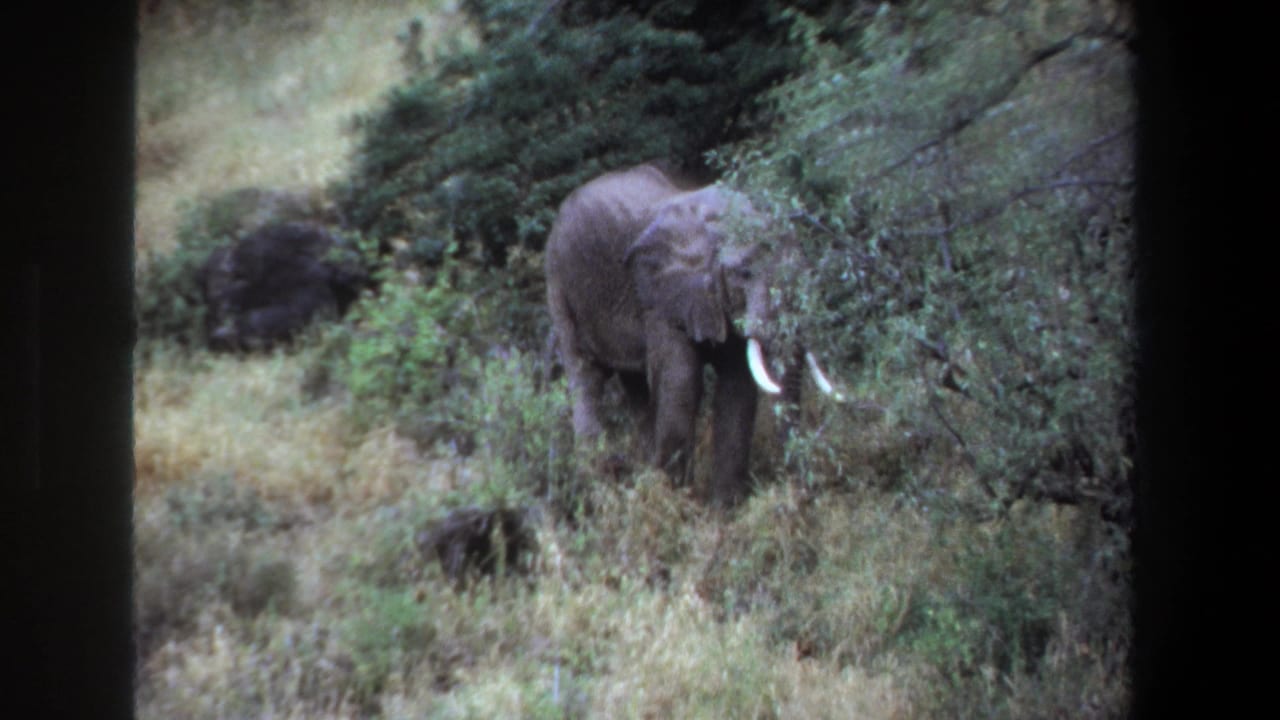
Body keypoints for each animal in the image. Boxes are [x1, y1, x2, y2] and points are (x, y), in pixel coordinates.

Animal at [545, 163, 837, 507]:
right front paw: (676, 505)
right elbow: (681, 382)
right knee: (585, 379)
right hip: (560, 286)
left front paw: (723, 512)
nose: (804, 496)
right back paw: (599, 495)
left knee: (636, 388)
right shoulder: (659, 297)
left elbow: (737, 388)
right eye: (745, 273)